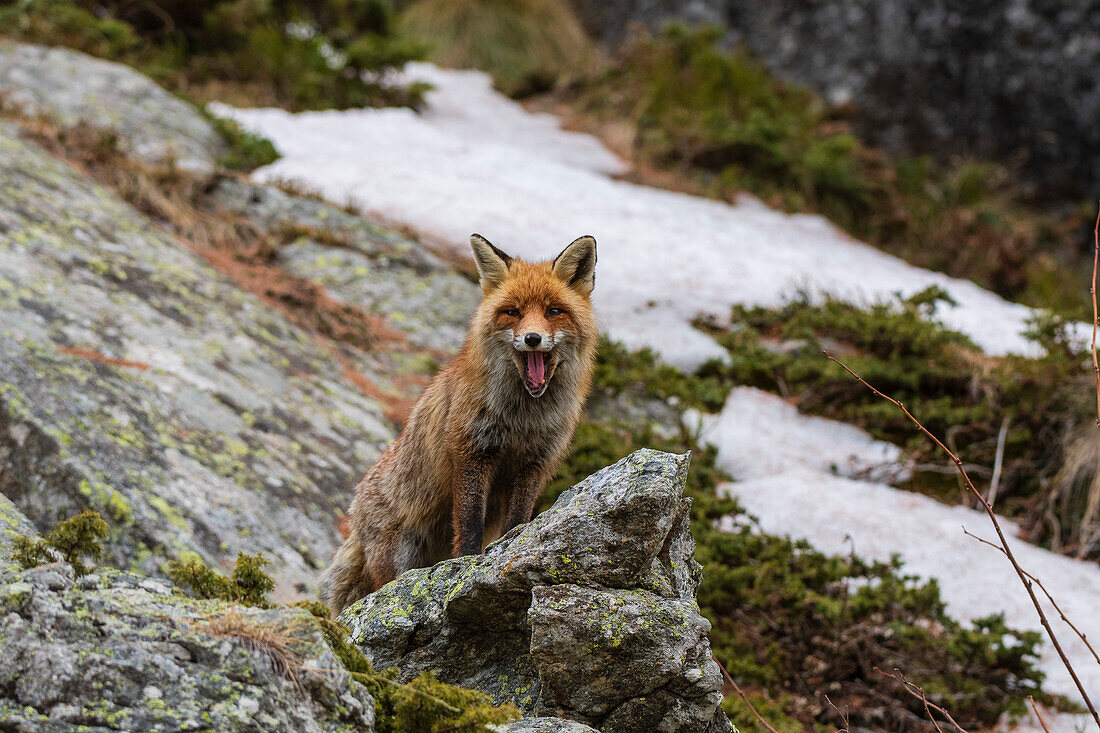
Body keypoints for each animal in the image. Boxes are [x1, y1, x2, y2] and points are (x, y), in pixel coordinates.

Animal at [321, 231, 598, 607]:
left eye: (554, 311)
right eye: (513, 312)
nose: (532, 338)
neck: (522, 420)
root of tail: (355, 513)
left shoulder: (535, 462)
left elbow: (517, 521)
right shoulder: (471, 450)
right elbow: (469, 523)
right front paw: (466, 565)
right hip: (398, 557)